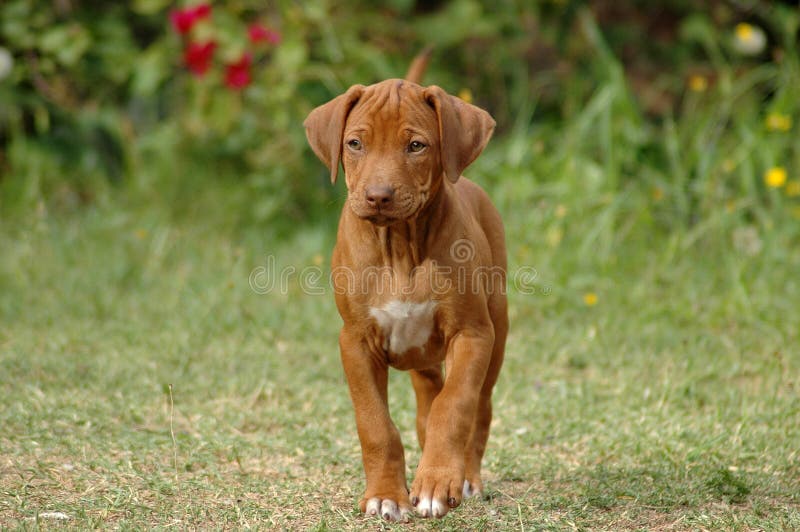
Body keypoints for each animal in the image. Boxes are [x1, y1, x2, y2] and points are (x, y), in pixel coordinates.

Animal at [304, 58, 506, 520]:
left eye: (416, 146)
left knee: (478, 408)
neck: (399, 247)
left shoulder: (472, 333)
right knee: (428, 401)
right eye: (355, 143)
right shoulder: (355, 342)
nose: (378, 196)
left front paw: (437, 483)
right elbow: (375, 423)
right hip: (425, 358)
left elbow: (456, 407)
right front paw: (385, 494)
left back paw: (465, 477)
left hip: (498, 331)